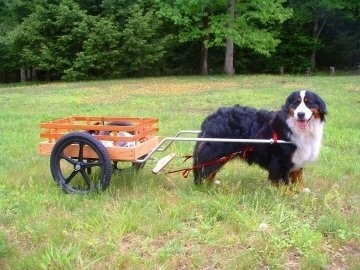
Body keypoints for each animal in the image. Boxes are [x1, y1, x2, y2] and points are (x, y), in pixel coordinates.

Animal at [193, 89, 328, 191]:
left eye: (309, 103)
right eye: (296, 103)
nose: (300, 114)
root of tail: (211, 118)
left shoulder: (298, 155)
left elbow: (297, 175)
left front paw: (301, 189)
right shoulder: (281, 159)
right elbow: (283, 179)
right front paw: (288, 194)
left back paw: (211, 183)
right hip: (217, 151)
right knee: (205, 168)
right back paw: (204, 186)